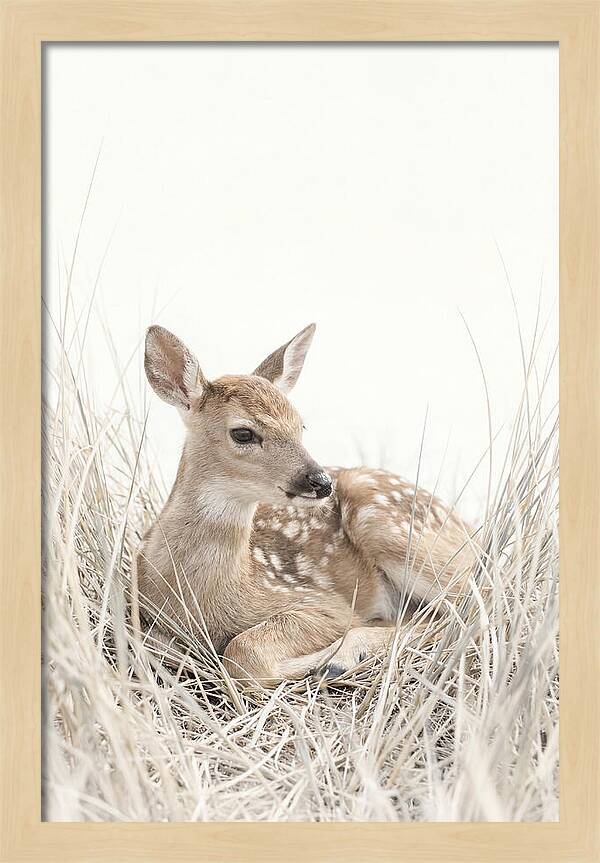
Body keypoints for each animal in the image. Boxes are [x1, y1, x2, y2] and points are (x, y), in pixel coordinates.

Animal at [136, 323, 476, 687]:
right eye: (243, 433)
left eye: (300, 426)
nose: (321, 481)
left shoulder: (323, 603)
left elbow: (244, 653)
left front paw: (318, 661)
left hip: (387, 525)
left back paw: (341, 658)